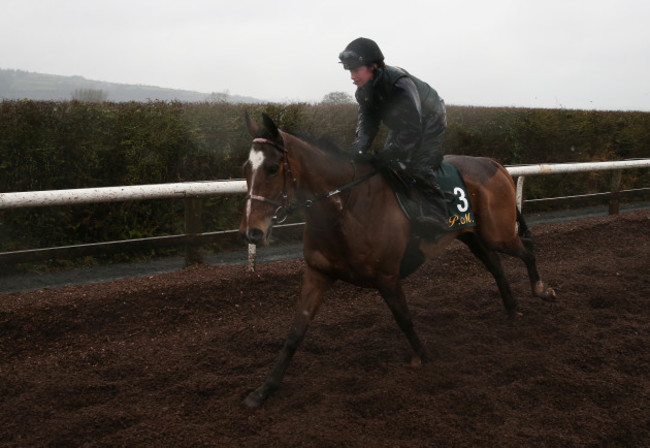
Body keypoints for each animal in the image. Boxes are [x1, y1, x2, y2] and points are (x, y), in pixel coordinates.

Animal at [238, 111, 552, 406]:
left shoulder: (387, 276)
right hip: (473, 236)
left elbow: (404, 318)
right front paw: (264, 389)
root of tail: (492, 163)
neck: (346, 206)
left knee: (527, 249)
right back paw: (512, 308)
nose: (251, 231)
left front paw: (423, 356)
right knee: (496, 266)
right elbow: (295, 331)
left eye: (272, 168)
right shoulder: (318, 272)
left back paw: (541, 289)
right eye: (245, 169)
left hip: (498, 234)